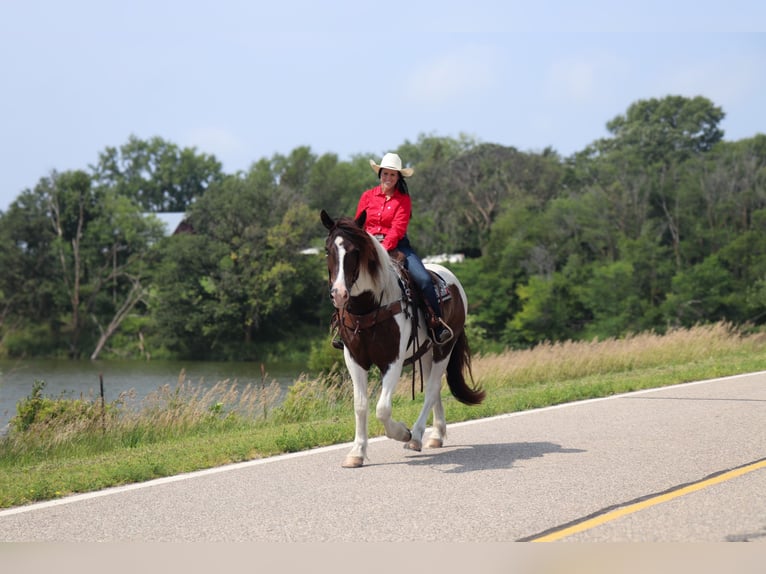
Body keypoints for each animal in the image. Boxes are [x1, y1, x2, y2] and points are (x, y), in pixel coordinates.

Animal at [320, 209, 484, 470]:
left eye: (355, 251)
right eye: (328, 250)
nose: (339, 293)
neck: (369, 307)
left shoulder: (392, 361)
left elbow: (382, 408)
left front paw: (402, 433)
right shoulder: (354, 359)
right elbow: (361, 405)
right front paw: (357, 453)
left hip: (444, 349)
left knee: (432, 389)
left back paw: (416, 437)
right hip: (426, 352)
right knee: (434, 389)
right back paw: (436, 436)